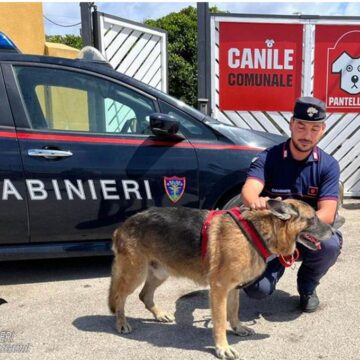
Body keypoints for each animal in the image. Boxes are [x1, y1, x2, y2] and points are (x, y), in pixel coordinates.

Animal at [107, 198, 340, 358]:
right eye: (313, 219)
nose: (334, 230)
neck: (259, 231)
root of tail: (123, 225)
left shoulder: (234, 288)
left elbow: (234, 311)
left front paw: (237, 328)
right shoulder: (219, 289)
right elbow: (220, 321)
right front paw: (222, 348)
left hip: (160, 272)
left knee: (144, 295)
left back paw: (159, 314)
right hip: (134, 273)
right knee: (120, 297)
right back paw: (121, 323)